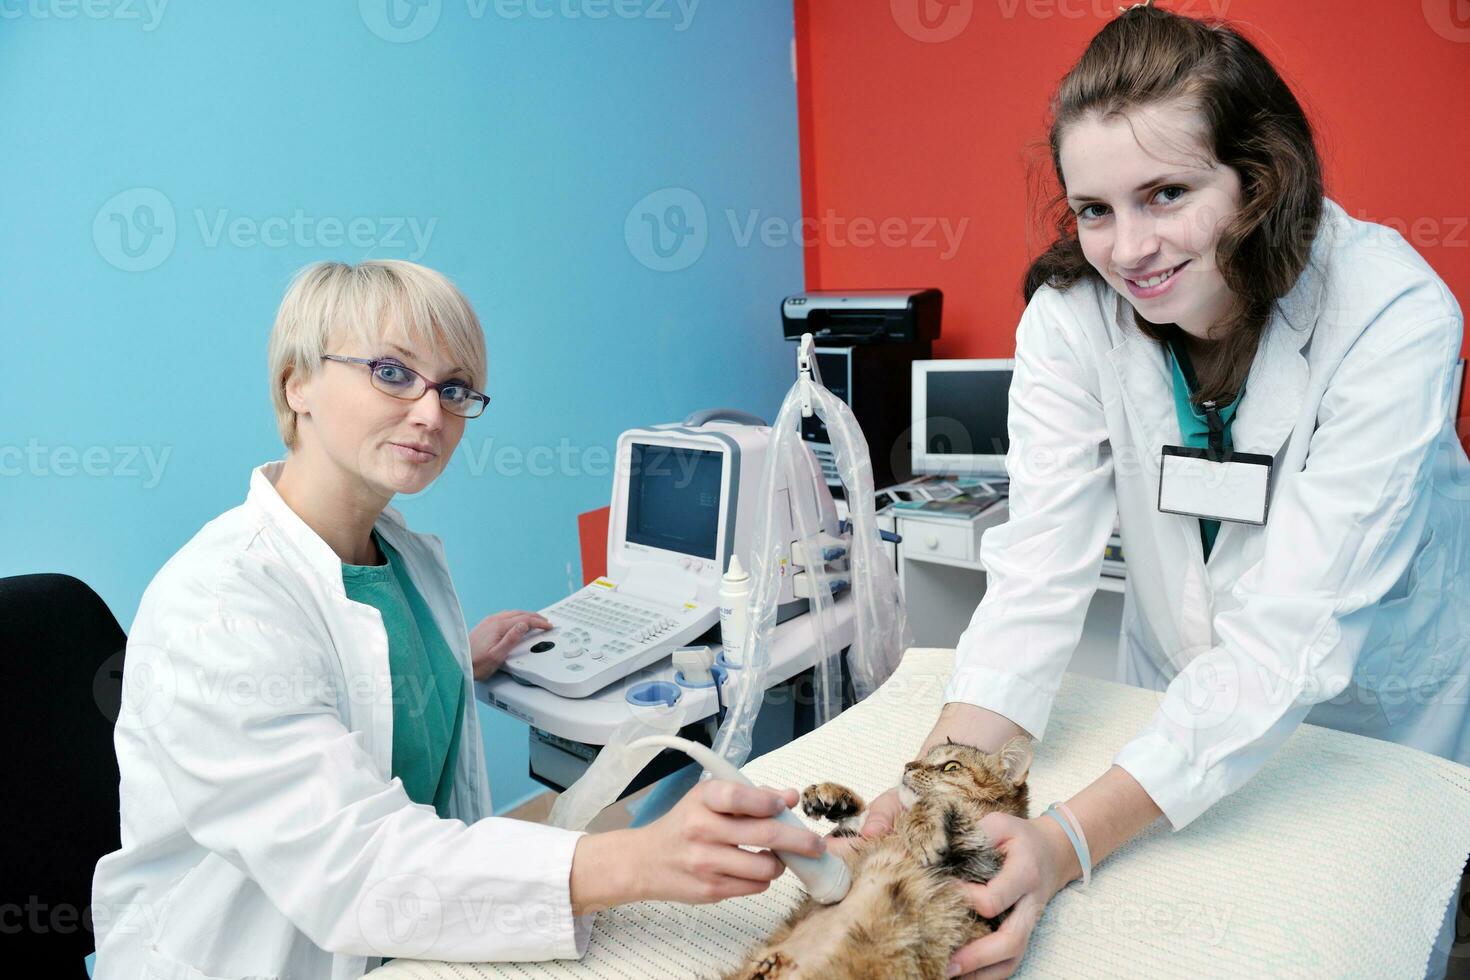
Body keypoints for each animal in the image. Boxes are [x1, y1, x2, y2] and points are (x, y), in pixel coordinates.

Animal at [720, 734, 1034, 980]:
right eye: (923, 757)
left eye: (951, 766)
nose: (908, 765)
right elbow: (861, 817)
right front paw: (832, 796)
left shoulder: (981, 868)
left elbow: (936, 802)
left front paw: (922, 830)